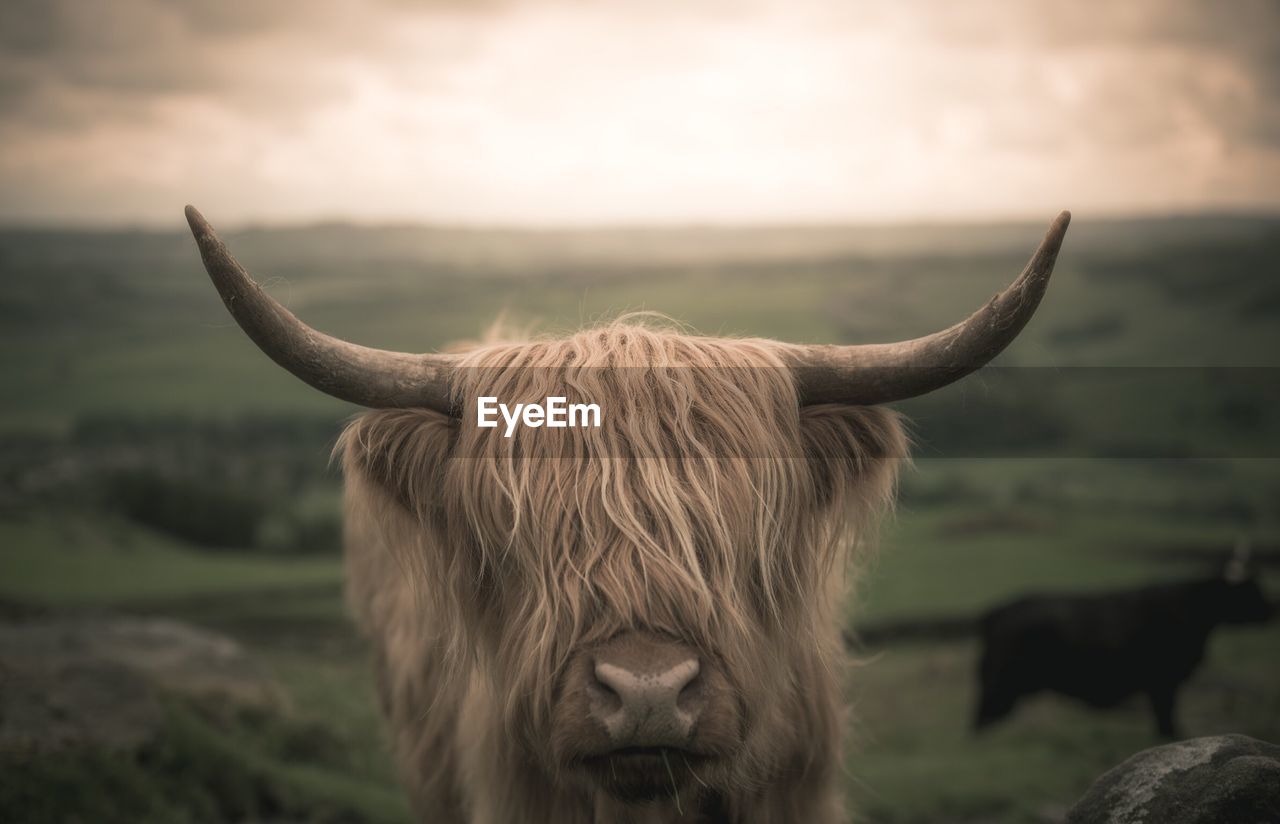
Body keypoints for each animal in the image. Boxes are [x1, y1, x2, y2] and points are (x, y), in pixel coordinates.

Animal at [972, 562, 1274, 736]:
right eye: (1251, 590)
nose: (1274, 609)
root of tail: (996, 612)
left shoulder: (1164, 683)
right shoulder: (1163, 681)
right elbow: (1166, 716)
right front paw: (1174, 736)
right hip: (1000, 685)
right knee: (981, 721)